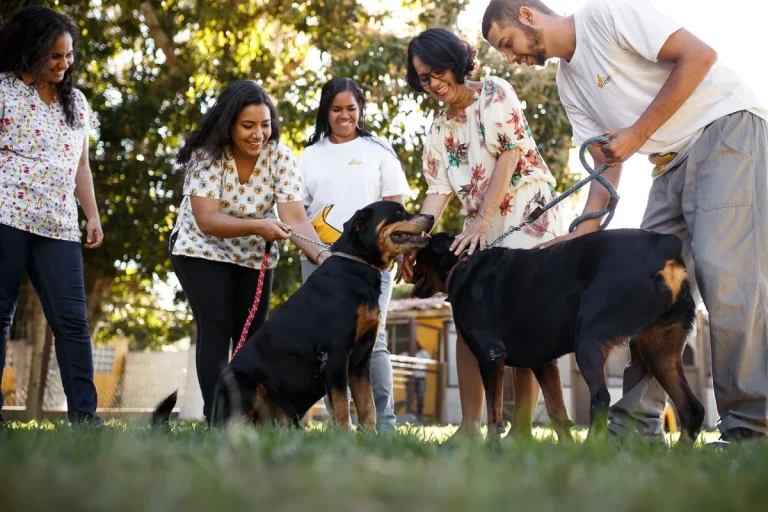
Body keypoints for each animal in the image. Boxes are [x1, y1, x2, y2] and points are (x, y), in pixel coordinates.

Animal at [153, 202, 436, 430]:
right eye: (399, 212)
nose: (432, 216)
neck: (357, 267)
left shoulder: (360, 362)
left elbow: (368, 409)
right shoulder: (336, 356)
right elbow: (342, 410)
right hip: (246, 384)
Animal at [412, 230, 704, 442]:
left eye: (420, 253)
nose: (409, 271)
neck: (463, 264)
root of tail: (664, 245)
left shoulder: (490, 355)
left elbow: (493, 413)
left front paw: (491, 448)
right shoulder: (543, 363)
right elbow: (557, 411)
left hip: (589, 339)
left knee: (601, 398)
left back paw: (592, 450)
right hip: (660, 352)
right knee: (693, 409)